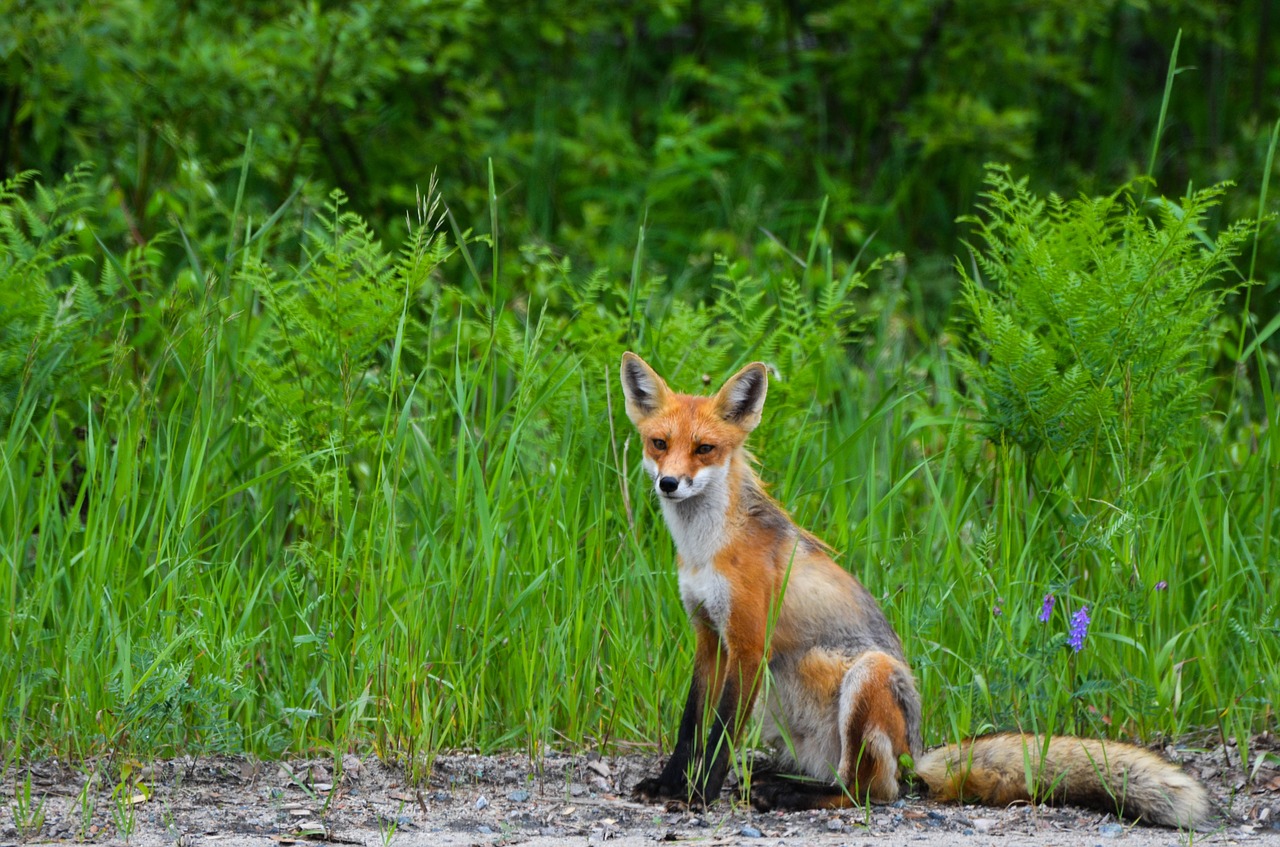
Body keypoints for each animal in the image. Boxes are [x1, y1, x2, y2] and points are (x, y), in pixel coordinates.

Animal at [619, 350, 1208, 829]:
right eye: (659, 444)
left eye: (704, 449)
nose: (668, 483)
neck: (705, 549)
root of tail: (917, 751)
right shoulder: (707, 636)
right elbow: (689, 724)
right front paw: (669, 785)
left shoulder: (746, 643)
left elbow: (718, 735)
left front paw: (699, 796)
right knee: (844, 777)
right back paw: (779, 782)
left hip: (869, 675)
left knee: (871, 791)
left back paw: (789, 797)